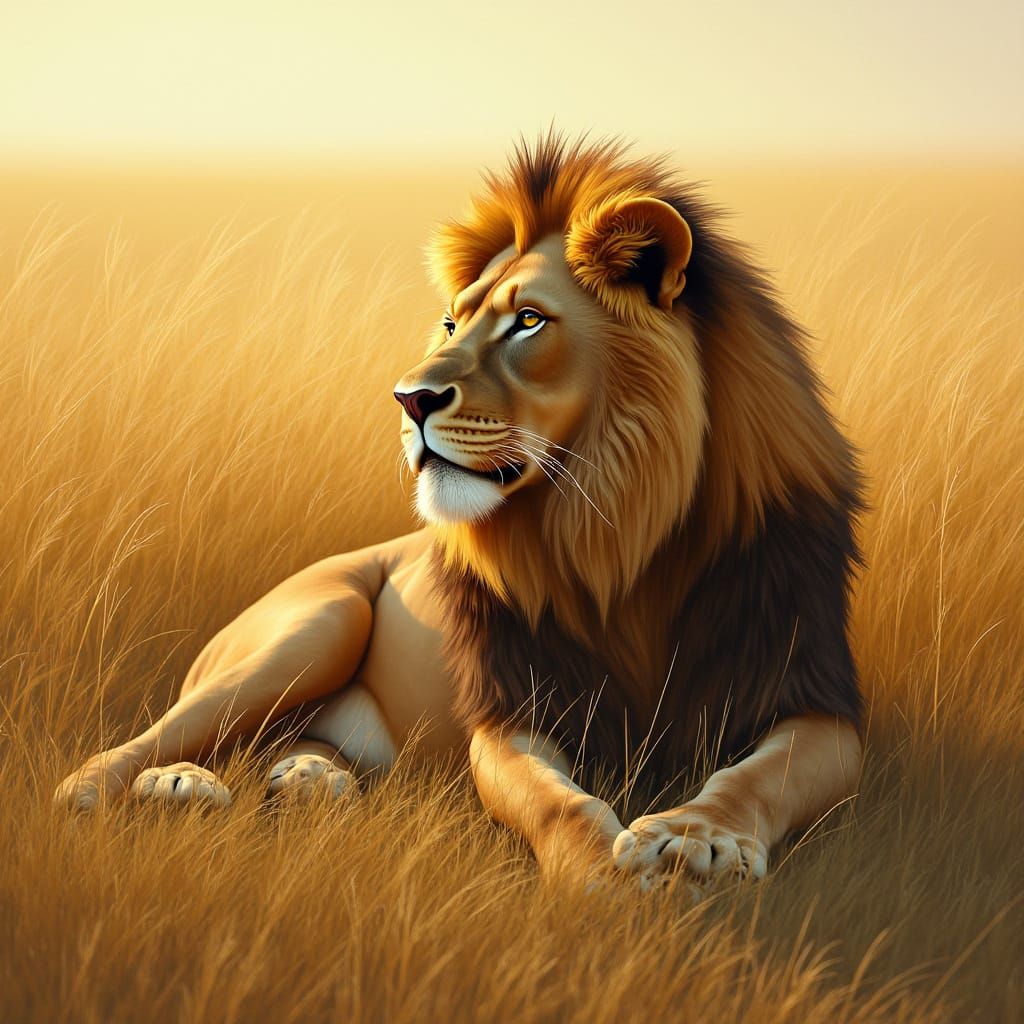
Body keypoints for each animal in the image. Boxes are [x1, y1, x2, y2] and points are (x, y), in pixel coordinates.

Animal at [56, 135, 864, 892]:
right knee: (150, 741)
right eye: (451, 324)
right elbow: (555, 800)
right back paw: (161, 787)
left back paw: (309, 779)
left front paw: (697, 836)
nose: (408, 399)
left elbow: (757, 775)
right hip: (316, 623)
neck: (616, 530)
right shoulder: (511, 708)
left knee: (284, 744)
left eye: (529, 322)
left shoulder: (816, 696)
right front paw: (602, 877)